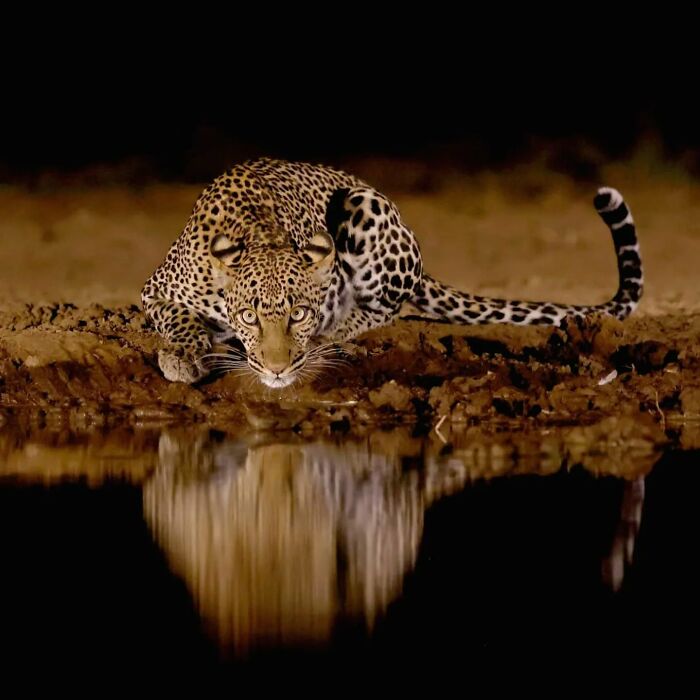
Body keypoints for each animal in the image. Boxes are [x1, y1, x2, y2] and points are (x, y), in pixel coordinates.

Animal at [141, 157, 643, 387]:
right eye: (249, 316)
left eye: (298, 314)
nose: (278, 369)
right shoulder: (155, 289)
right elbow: (177, 316)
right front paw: (183, 353)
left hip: (364, 204)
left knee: (386, 306)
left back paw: (337, 332)